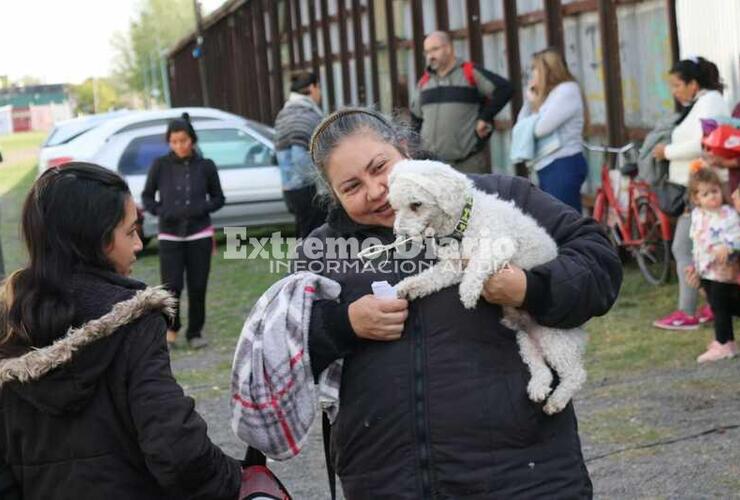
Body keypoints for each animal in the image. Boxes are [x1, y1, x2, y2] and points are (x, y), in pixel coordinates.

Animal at [390, 160, 588, 414]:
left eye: (416, 204)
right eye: (395, 207)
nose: (398, 234)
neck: (464, 221)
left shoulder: (499, 246)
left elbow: (478, 262)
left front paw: (468, 292)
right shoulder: (453, 267)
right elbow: (430, 278)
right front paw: (408, 286)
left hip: (553, 336)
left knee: (576, 374)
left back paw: (557, 401)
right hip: (525, 339)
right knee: (541, 367)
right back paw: (538, 387)